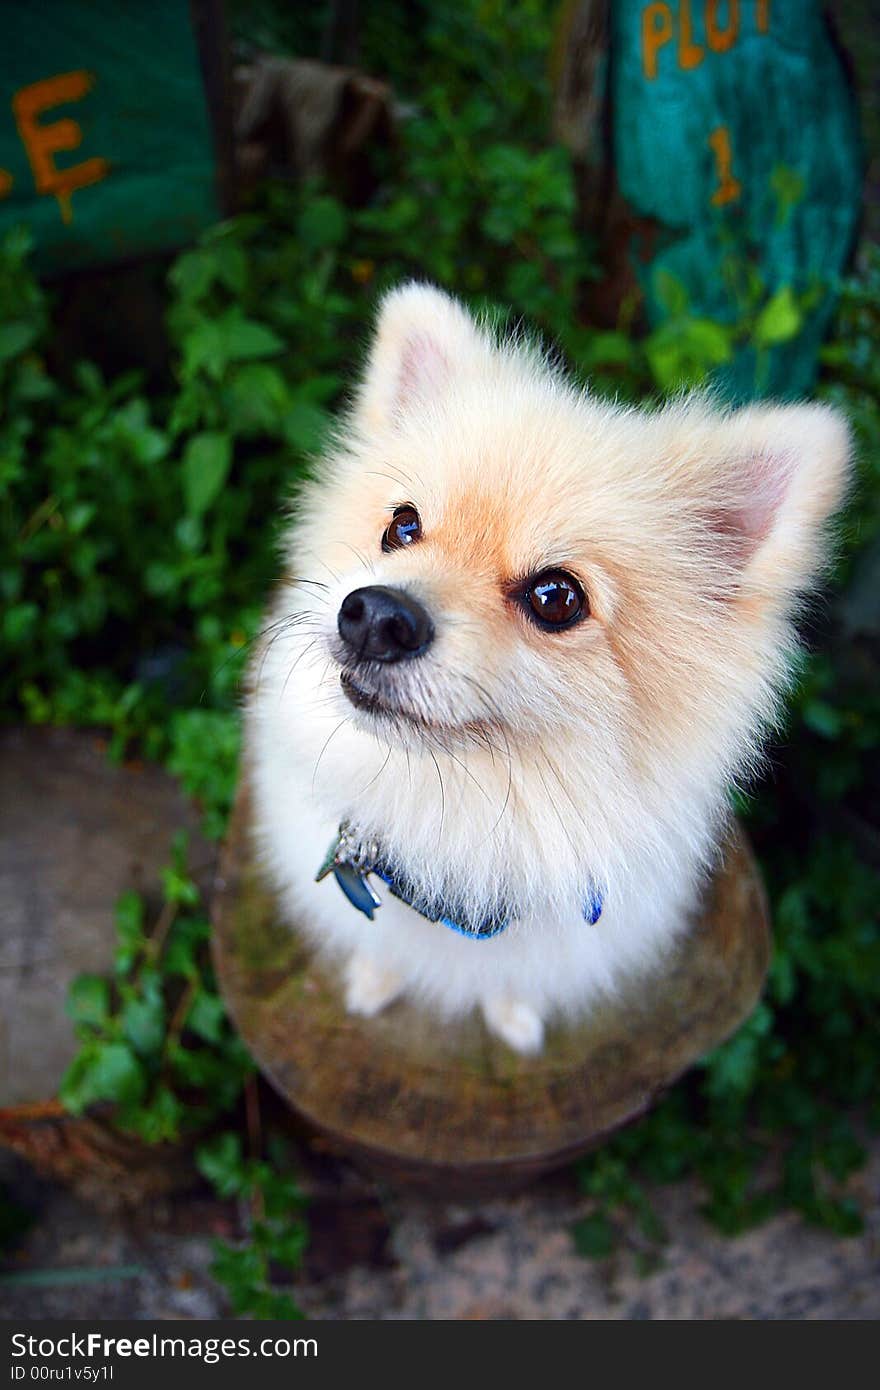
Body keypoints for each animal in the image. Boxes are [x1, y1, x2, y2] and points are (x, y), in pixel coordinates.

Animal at [243, 282, 845, 1050]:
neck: (457, 830)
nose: (375, 616)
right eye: (401, 527)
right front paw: (377, 982)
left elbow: (513, 984)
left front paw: (514, 1020)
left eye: (556, 597)